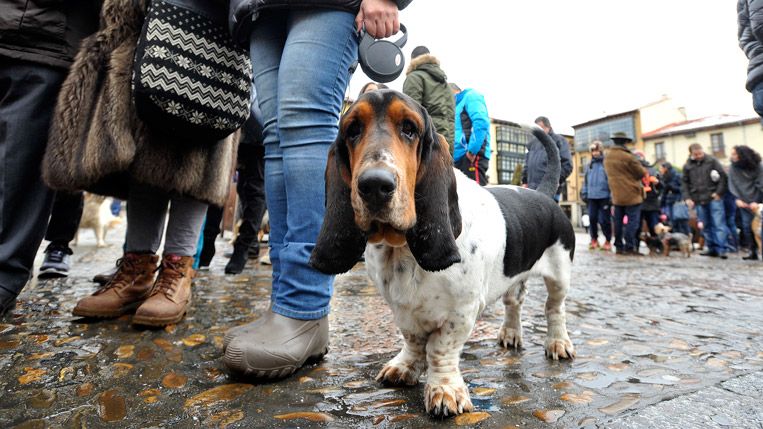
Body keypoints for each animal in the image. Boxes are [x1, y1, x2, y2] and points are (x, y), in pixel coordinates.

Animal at [308, 90, 572, 414]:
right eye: (352, 130)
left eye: (410, 128)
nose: (374, 185)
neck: (403, 251)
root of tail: (541, 193)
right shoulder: (401, 309)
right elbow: (413, 340)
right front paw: (405, 367)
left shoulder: (462, 312)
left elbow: (440, 349)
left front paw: (444, 390)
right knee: (514, 303)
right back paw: (511, 334)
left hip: (560, 274)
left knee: (554, 308)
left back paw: (558, 343)